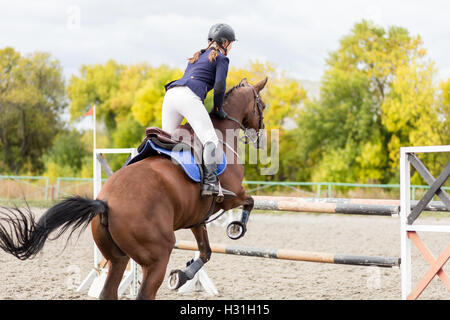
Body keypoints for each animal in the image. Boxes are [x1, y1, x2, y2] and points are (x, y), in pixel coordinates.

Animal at [0, 76, 268, 298]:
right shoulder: (231, 197)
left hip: (117, 258)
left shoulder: (197, 218)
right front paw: (236, 228)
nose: (261, 138)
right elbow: (249, 202)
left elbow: (205, 252)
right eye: (263, 106)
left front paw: (182, 276)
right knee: (144, 293)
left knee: (109, 291)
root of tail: (104, 203)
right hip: (157, 256)